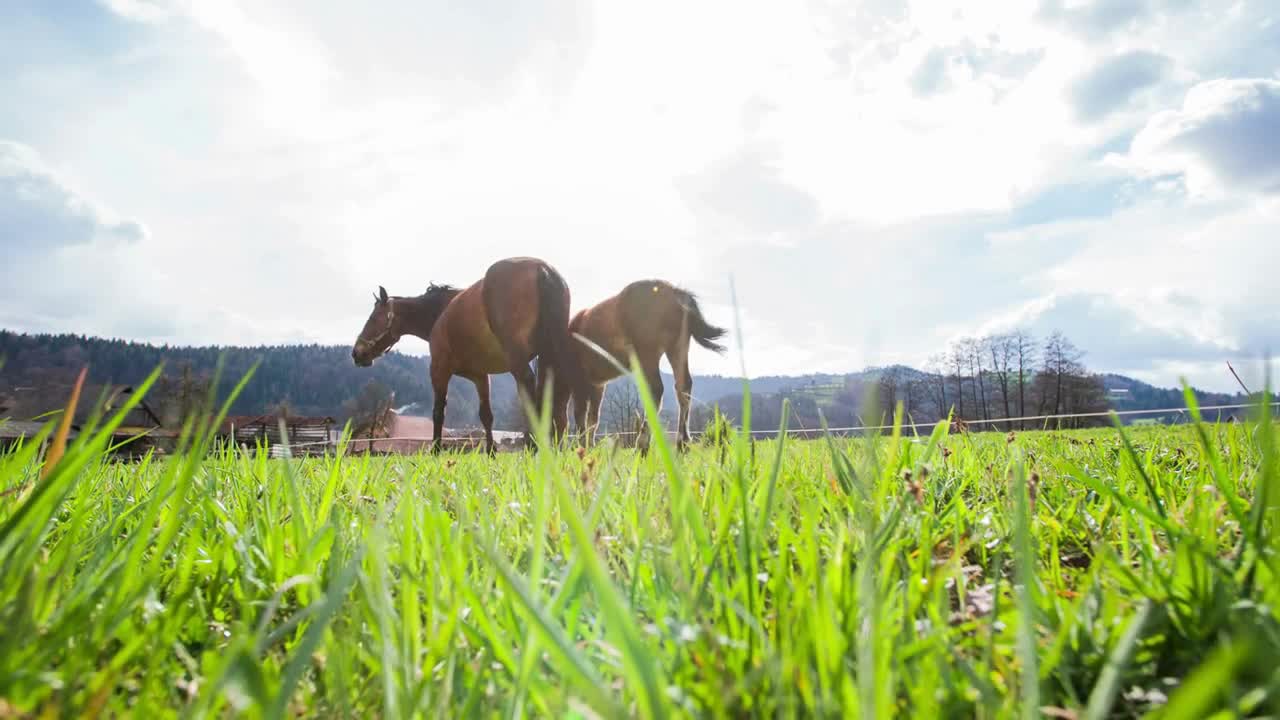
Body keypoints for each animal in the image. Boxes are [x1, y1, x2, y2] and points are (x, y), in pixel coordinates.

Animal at [355, 254, 586, 450]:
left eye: (373, 318)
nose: (356, 353)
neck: (441, 312)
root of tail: (542, 269)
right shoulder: (480, 377)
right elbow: (486, 415)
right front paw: (491, 452)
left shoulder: (439, 371)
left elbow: (438, 412)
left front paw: (436, 450)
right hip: (551, 354)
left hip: (519, 359)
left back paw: (535, 446)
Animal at [563, 275, 732, 448]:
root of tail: (675, 292)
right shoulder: (597, 385)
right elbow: (593, 418)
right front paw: (590, 446)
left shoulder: (580, 382)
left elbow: (581, 415)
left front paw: (582, 447)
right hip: (678, 348)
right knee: (683, 386)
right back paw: (682, 442)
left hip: (647, 354)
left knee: (656, 389)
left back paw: (642, 443)